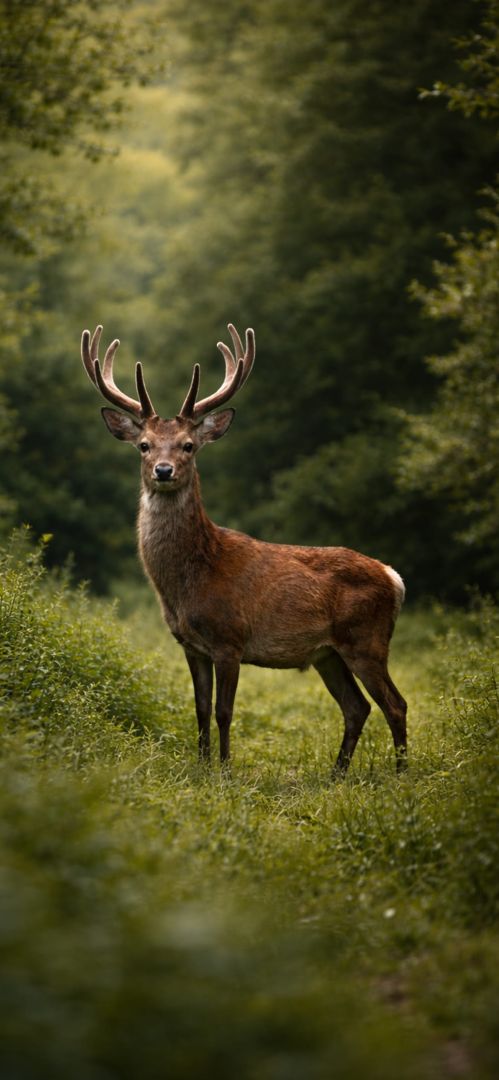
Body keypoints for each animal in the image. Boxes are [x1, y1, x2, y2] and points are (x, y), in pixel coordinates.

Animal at [81, 323, 407, 775]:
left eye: (188, 445)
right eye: (144, 445)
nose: (163, 470)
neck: (192, 577)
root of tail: (394, 579)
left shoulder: (229, 639)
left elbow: (224, 711)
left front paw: (224, 770)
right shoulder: (191, 645)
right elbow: (200, 708)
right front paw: (201, 766)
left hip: (367, 640)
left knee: (396, 704)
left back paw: (401, 774)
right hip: (327, 653)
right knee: (357, 707)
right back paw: (337, 775)